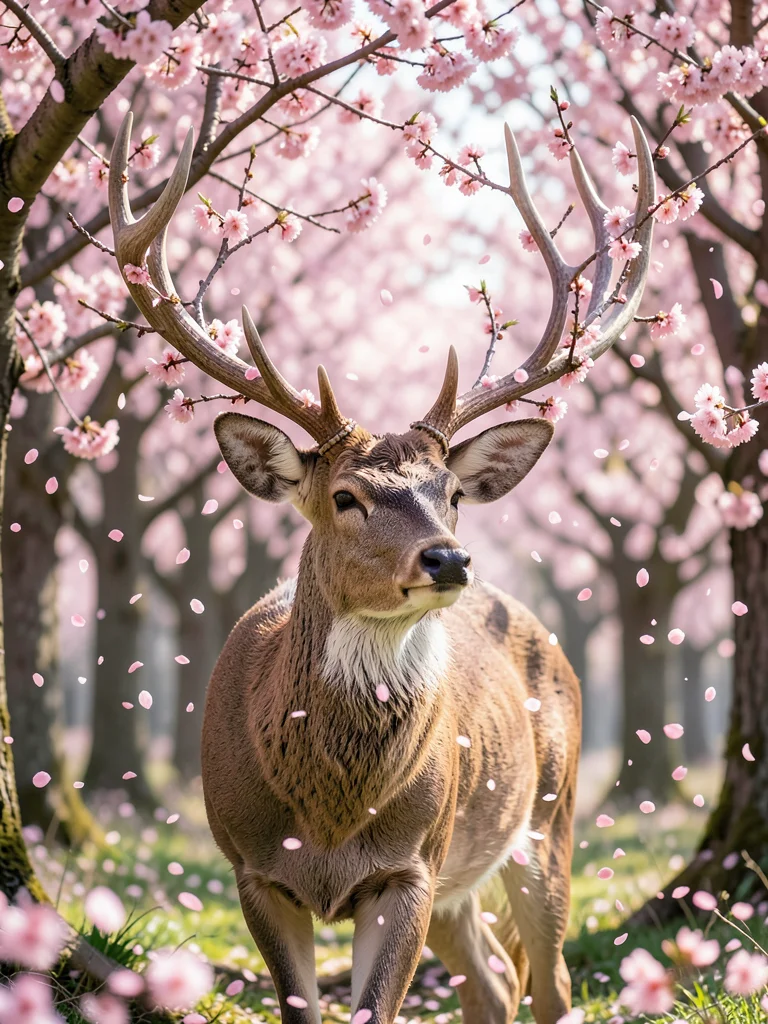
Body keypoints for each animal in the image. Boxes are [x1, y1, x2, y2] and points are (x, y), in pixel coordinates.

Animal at [108, 109, 653, 1024]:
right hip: (472, 870)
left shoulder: (409, 864)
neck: (329, 818)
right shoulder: (251, 867)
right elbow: (302, 1006)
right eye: (346, 496)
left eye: (452, 492)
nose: (448, 556)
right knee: (494, 982)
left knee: (552, 981)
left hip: (549, 815)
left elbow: (378, 1008)